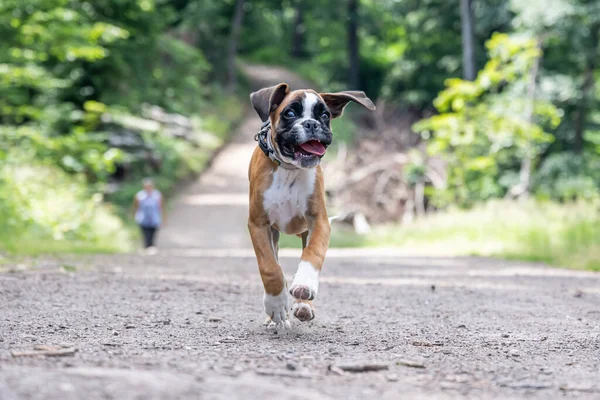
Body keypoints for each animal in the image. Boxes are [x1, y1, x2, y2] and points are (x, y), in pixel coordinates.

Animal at [246, 82, 372, 328]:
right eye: (290, 113)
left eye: (324, 115)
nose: (312, 124)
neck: (289, 170)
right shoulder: (258, 224)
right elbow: (269, 267)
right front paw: (275, 304)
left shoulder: (319, 221)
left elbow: (313, 254)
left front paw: (304, 285)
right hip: (274, 234)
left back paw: (304, 305)